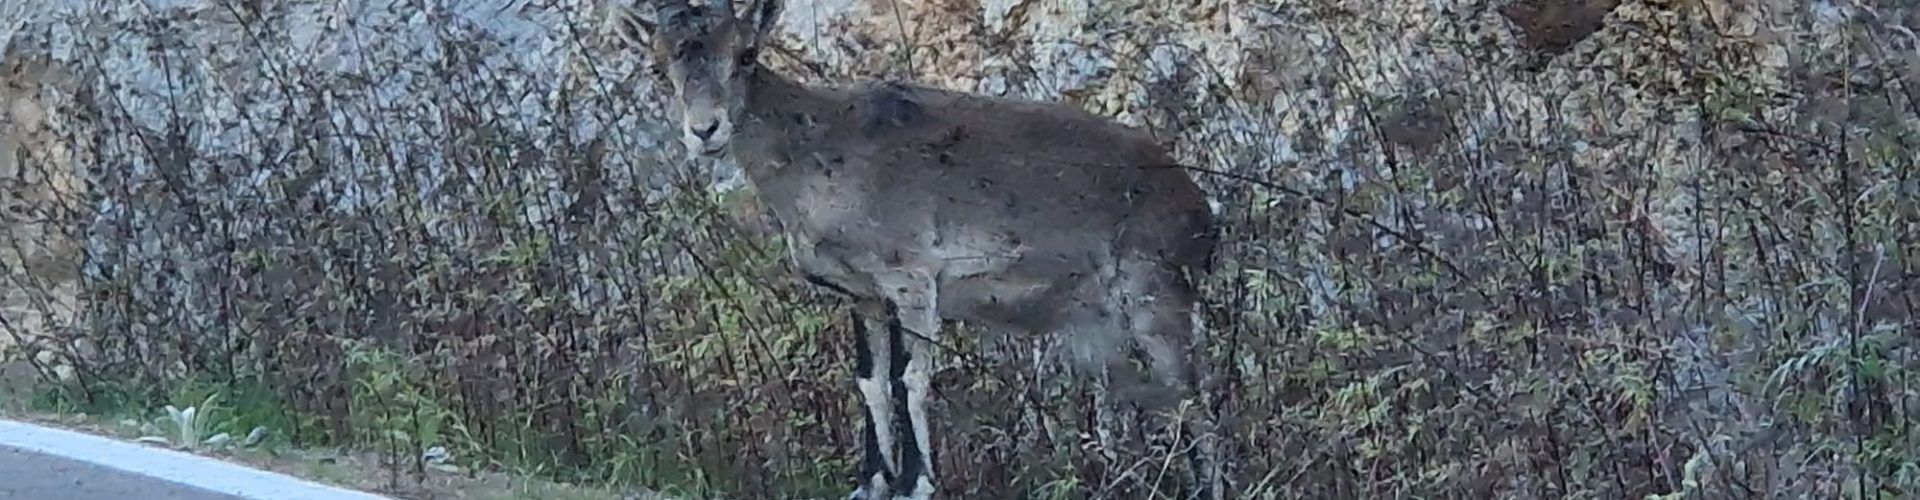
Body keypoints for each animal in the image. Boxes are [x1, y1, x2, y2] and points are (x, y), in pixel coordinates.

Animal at [609, 1, 1226, 498]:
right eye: (659, 65)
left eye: (745, 54)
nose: (705, 130)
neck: (820, 153)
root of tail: (1199, 211)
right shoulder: (862, 296)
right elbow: (870, 381)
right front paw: (871, 481)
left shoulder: (911, 280)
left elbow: (909, 377)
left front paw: (916, 480)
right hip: (1100, 335)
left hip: (1154, 298)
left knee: (1194, 403)